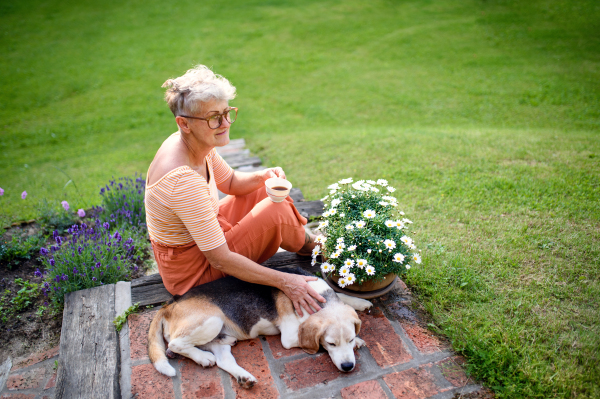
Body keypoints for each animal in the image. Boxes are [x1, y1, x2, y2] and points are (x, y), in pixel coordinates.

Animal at [146, 268, 370, 390]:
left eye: (349, 339)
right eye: (331, 343)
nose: (348, 366)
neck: (319, 299)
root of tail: (169, 304)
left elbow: (343, 297)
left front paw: (360, 303)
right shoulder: (289, 337)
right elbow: (309, 338)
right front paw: (359, 341)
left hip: (216, 334)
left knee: (222, 360)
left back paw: (243, 377)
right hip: (212, 320)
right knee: (175, 344)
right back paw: (202, 357)